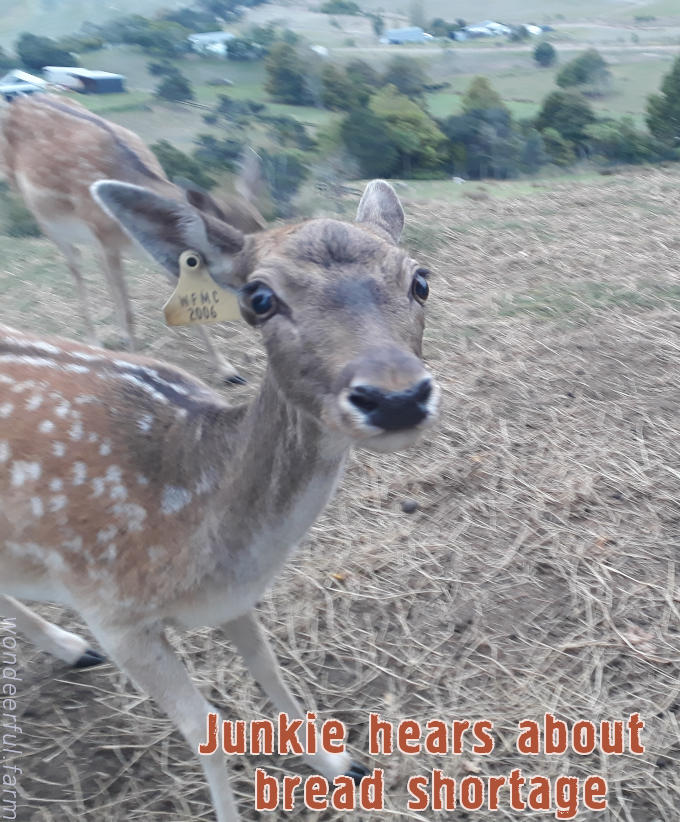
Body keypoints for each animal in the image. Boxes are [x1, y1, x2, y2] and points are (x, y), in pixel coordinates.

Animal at [0, 91, 266, 388]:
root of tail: (20, 97)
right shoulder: (107, 239)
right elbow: (130, 312)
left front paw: (228, 370)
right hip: (41, 214)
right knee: (74, 265)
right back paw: (94, 340)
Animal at [0, 180, 436, 822]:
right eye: (259, 297)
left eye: (420, 279)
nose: (396, 397)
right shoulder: (112, 614)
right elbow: (205, 730)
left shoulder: (234, 595)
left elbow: (271, 672)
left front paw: (343, 767)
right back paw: (71, 646)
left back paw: (69, 649)